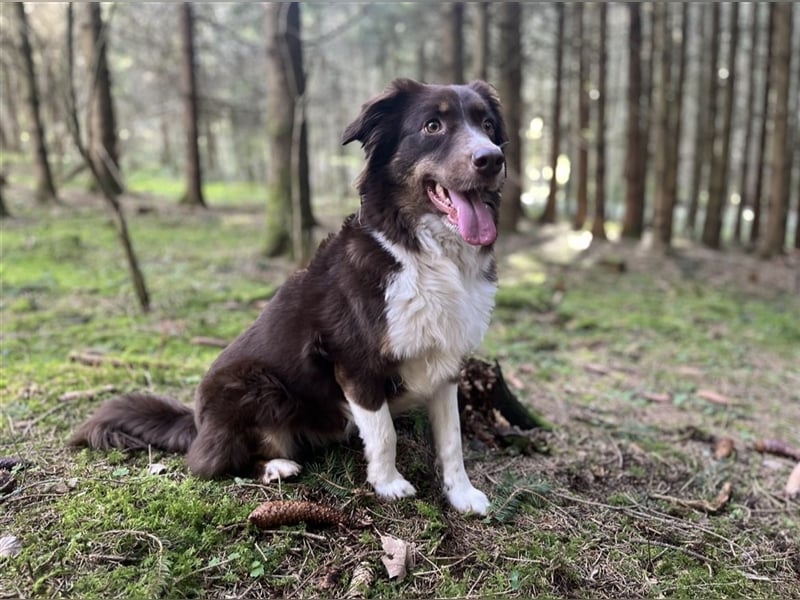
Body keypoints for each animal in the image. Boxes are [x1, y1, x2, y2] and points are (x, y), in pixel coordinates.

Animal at [76, 79, 512, 516]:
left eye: (488, 125)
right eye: (433, 126)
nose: (492, 159)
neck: (427, 255)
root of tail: (197, 424)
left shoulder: (445, 365)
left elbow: (452, 441)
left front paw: (462, 494)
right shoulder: (354, 363)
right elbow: (384, 433)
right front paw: (388, 484)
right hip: (256, 384)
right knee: (208, 463)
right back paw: (276, 466)